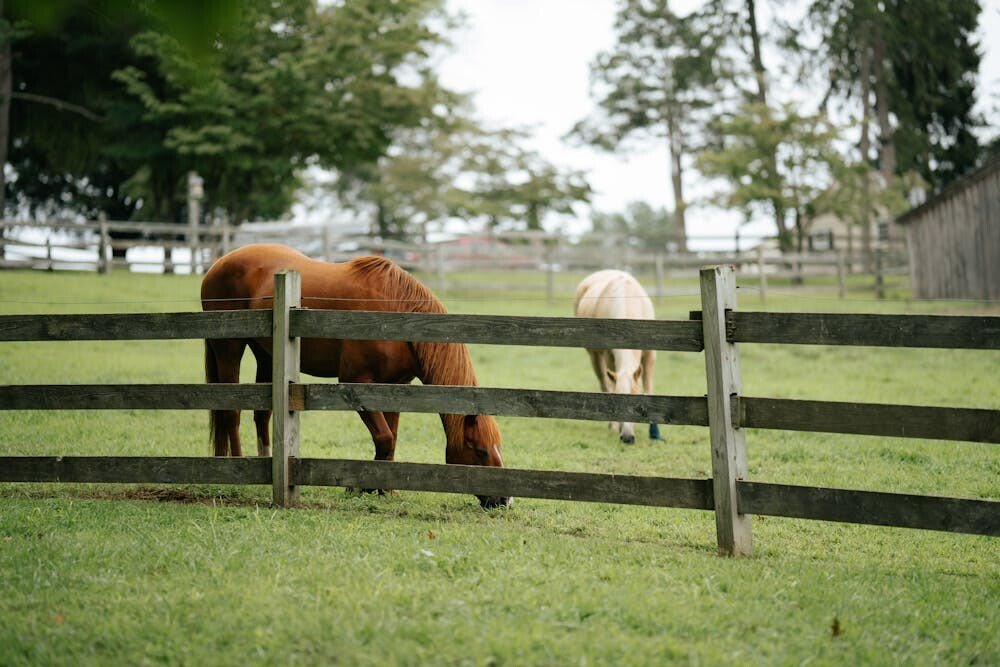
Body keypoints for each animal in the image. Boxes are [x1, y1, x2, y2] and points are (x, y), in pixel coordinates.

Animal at [200, 243, 511, 508]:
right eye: (479, 450)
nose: (505, 500)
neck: (396, 315)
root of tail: (218, 264)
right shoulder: (355, 383)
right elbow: (384, 438)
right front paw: (363, 486)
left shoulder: (393, 387)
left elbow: (391, 439)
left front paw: (385, 488)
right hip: (229, 349)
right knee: (230, 412)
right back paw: (236, 466)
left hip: (265, 355)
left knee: (261, 414)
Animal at [573, 269, 662, 444]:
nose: (627, 437)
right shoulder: (610, 355)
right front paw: (617, 427)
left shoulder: (650, 355)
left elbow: (649, 390)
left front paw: (654, 433)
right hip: (595, 355)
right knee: (605, 384)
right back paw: (612, 426)